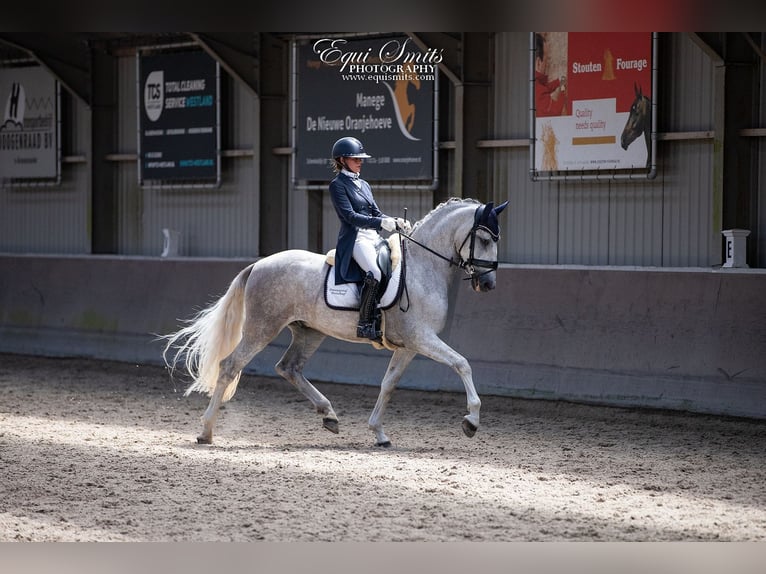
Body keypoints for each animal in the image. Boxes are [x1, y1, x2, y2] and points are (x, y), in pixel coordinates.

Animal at [163, 199, 510, 450]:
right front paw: (471, 420)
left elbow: (389, 383)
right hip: (262, 328)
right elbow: (462, 364)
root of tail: (259, 264)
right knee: (230, 366)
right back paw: (206, 432)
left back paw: (329, 415)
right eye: (483, 238)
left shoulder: (409, 346)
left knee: (288, 368)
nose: (489, 284)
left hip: (308, 332)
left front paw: (379, 433)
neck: (423, 268)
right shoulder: (422, 338)